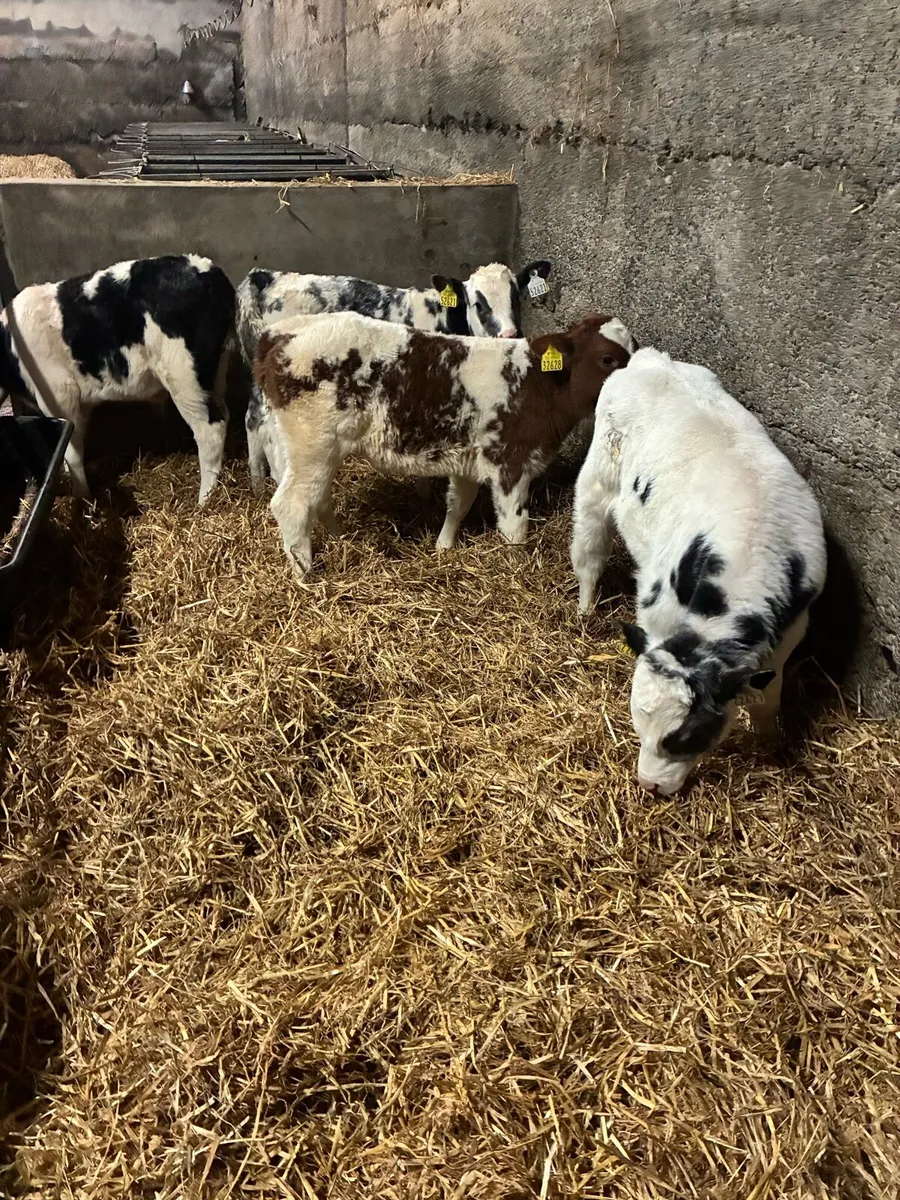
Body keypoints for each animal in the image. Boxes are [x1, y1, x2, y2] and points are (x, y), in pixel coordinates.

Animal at [0, 255, 235, 504]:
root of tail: (207, 270)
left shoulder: (59, 395)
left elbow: (71, 449)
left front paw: (81, 497)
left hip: (184, 377)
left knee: (210, 429)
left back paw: (204, 500)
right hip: (215, 373)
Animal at [236, 260, 553, 493]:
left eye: (516, 298)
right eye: (479, 303)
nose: (510, 334)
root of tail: (264, 276)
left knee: (252, 419)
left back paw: (257, 484)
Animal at [252, 309, 634, 576]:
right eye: (608, 359)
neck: (537, 384)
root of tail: (282, 332)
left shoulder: (467, 457)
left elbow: (458, 504)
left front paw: (444, 547)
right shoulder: (510, 463)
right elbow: (515, 527)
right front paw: (517, 569)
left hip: (314, 450)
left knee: (317, 499)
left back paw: (339, 538)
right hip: (313, 445)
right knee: (291, 504)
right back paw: (306, 575)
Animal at [570, 347, 827, 795]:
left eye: (684, 736)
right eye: (638, 722)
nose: (648, 785)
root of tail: (649, 359)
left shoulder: (790, 633)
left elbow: (768, 697)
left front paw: (769, 744)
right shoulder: (655, 614)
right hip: (597, 481)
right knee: (589, 545)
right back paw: (586, 608)